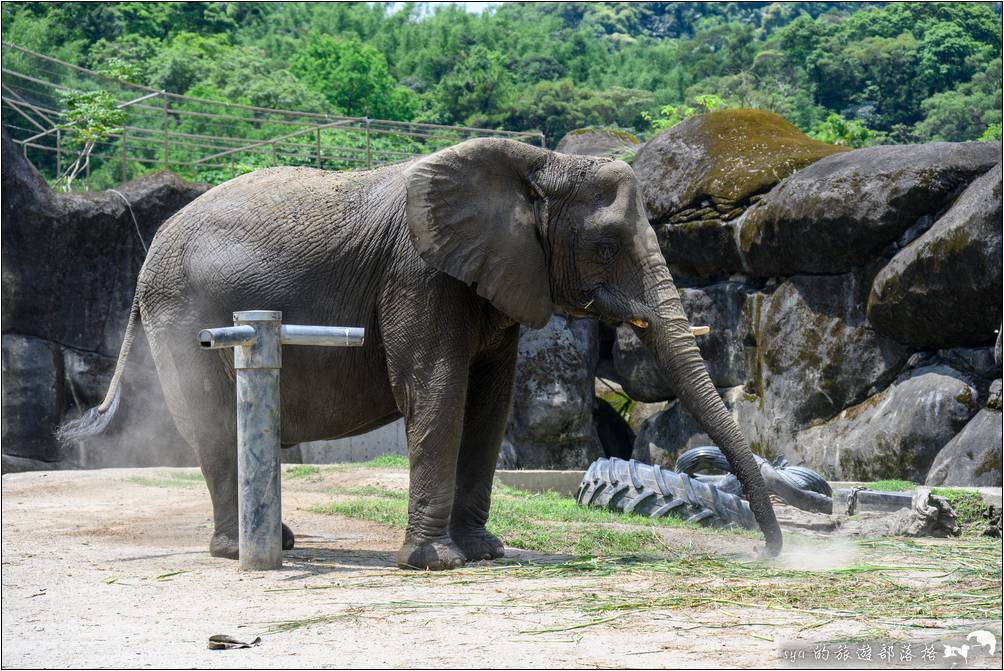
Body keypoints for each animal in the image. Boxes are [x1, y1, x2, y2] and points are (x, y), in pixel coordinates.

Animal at [60, 138, 783, 570]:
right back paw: (241, 548)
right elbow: (436, 388)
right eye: (606, 246)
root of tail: (146, 258)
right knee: (213, 427)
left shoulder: (495, 276)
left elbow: (490, 400)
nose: (772, 553)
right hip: (182, 318)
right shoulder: (417, 274)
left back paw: (279, 541)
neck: (538, 163)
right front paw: (437, 562)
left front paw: (485, 551)